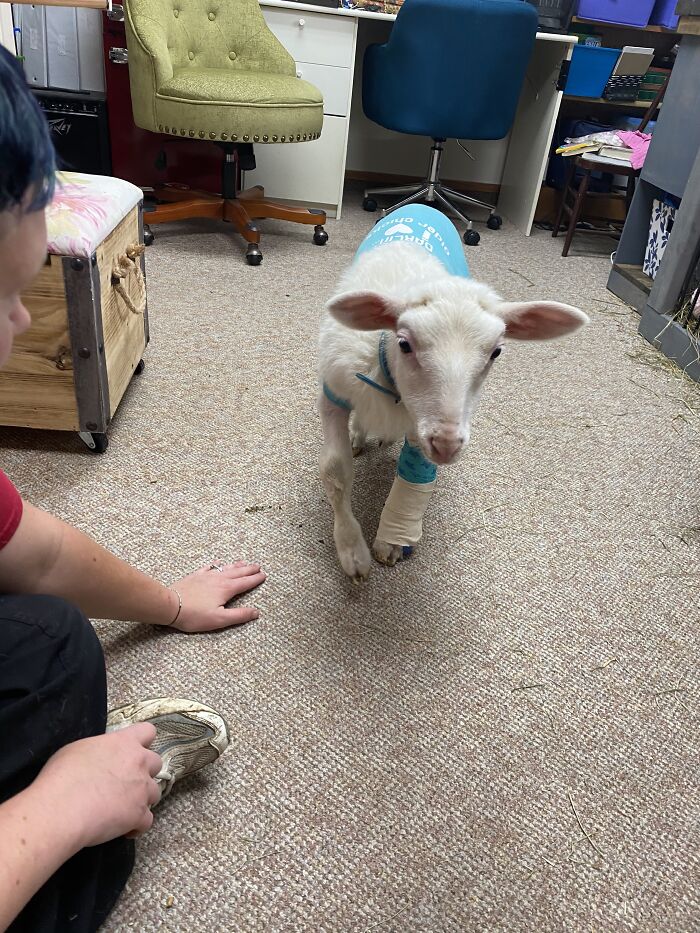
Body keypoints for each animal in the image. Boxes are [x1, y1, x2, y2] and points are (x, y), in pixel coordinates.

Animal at [318, 205, 588, 581]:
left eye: (496, 352)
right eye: (404, 344)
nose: (447, 445)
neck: (391, 383)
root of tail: (424, 205)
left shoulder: (423, 427)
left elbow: (414, 477)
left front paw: (392, 540)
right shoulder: (334, 394)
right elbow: (335, 471)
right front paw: (352, 552)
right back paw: (358, 436)